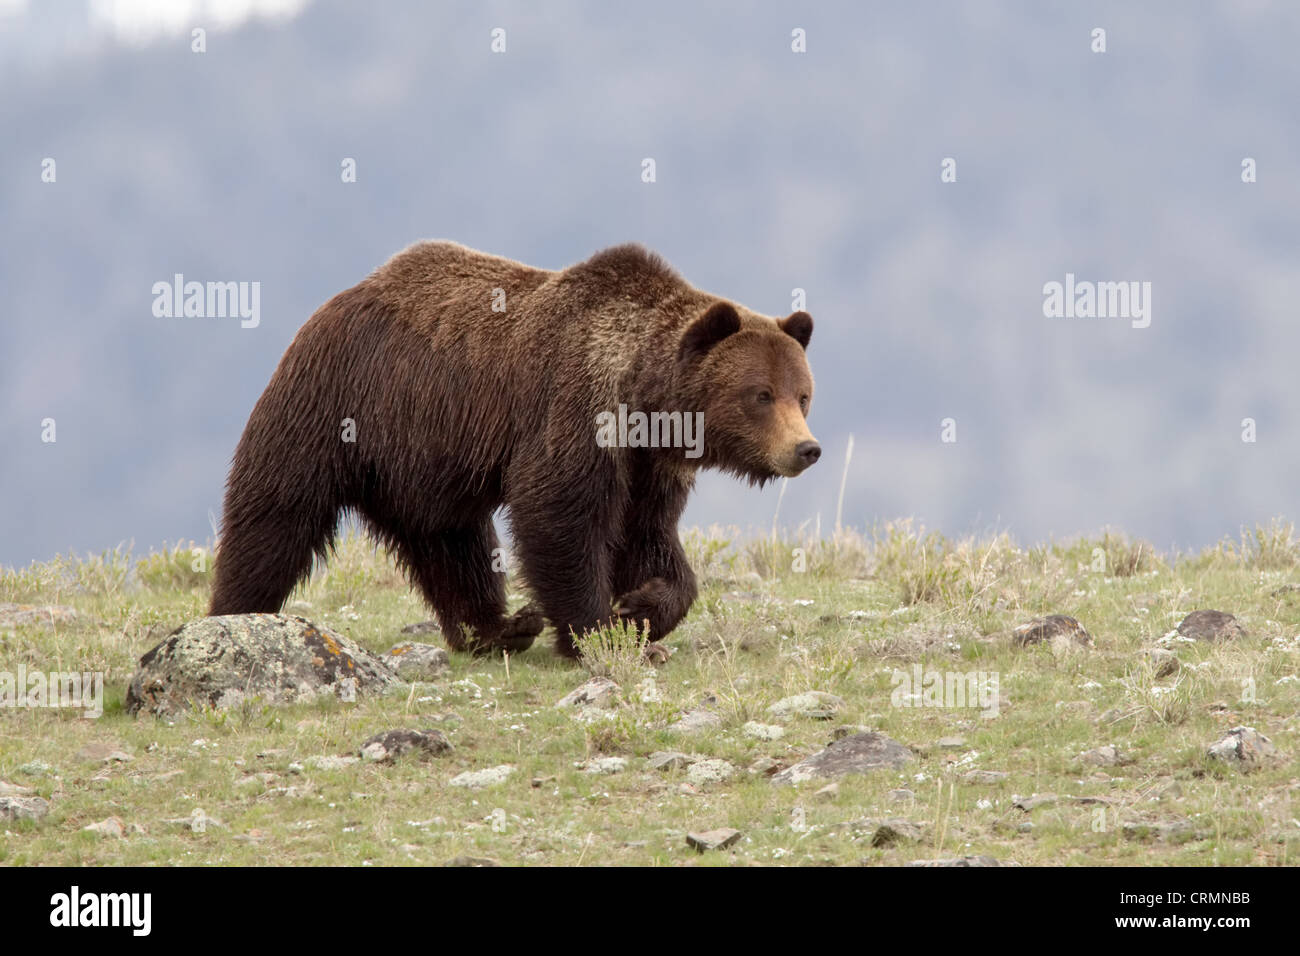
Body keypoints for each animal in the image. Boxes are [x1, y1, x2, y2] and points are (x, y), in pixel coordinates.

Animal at [210, 240, 821, 658]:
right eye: (760, 394)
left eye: (803, 394)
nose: (806, 449)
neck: (644, 401)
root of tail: (339, 298)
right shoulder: (576, 410)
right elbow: (558, 514)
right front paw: (597, 630)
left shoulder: (649, 465)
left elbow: (648, 536)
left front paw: (642, 606)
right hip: (332, 406)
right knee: (274, 517)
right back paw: (233, 614)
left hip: (422, 465)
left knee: (453, 547)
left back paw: (498, 629)